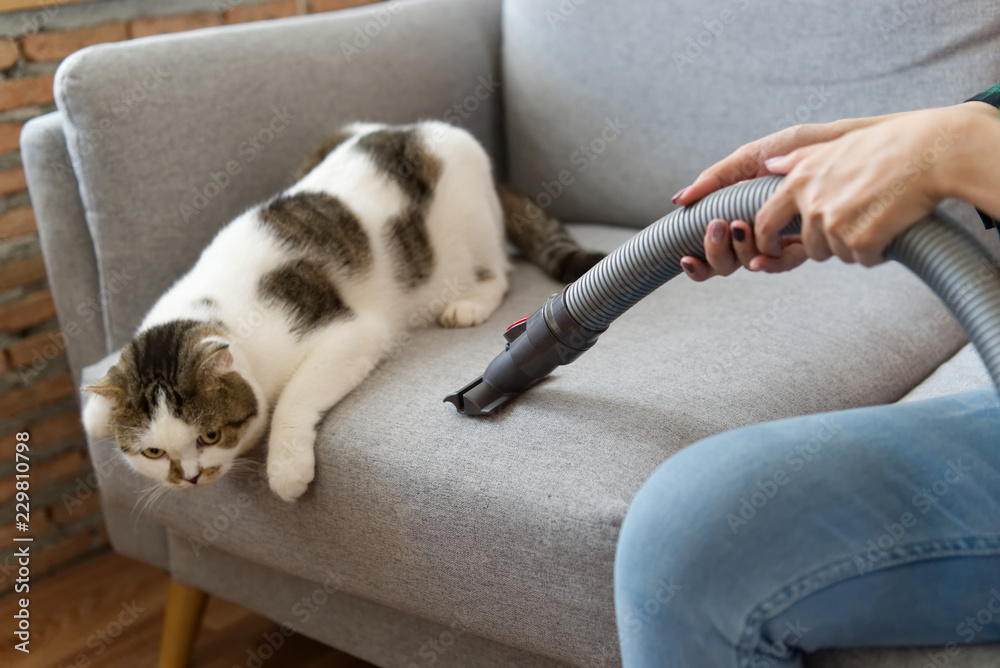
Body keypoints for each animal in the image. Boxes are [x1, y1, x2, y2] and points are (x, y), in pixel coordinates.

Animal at [80, 122, 600, 504]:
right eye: (153, 451)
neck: (212, 308)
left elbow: (294, 396)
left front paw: (286, 468)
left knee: (498, 271)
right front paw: (95, 414)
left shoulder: (352, 333)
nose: (188, 478)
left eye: (209, 436)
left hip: (467, 218)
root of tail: (423, 126)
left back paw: (469, 302)